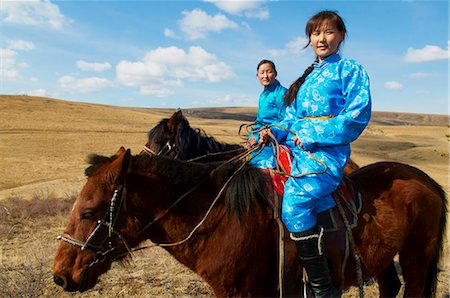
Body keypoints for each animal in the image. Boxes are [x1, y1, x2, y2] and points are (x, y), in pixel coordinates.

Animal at [53, 148, 446, 296]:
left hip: (417, 258)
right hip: (383, 259)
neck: (221, 220)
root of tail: (428, 181)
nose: (60, 275)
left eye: (88, 212)